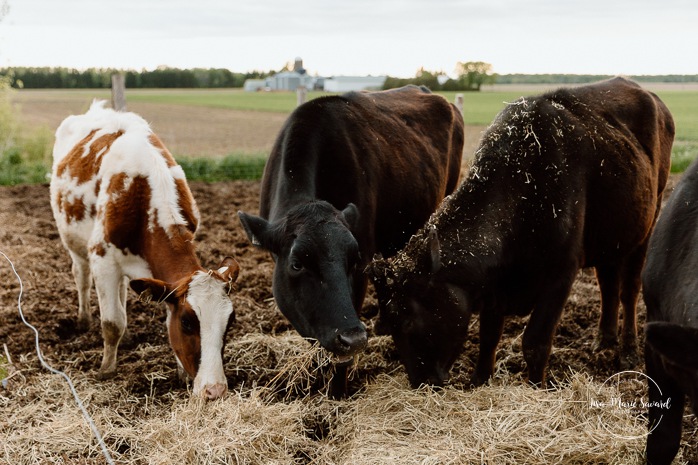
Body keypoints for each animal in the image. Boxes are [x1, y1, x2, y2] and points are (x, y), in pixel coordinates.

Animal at [50, 101, 240, 400]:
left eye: (230, 322)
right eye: (187, 322)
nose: (215, 390)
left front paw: (181, 374)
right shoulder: (102, 258)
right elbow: (112, 322)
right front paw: (106, 368)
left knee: (122, 290)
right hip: (73, 242)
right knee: (81, 277)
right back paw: (83, 319)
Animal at [368, 77, 674, 389]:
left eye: (408, 319)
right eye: (388, 325)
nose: (422, 382)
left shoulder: (561, 274)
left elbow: (535, 342)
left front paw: (536, 386)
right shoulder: (494, 288)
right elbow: (488, 337)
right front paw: (479, 381)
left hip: (647, 225)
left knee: (629, 291)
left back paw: (627, 351)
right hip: (610, 237)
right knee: (608, 283)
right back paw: (604, 339)